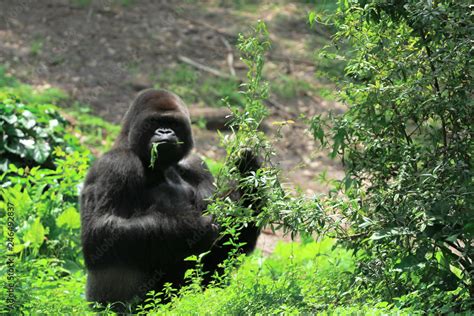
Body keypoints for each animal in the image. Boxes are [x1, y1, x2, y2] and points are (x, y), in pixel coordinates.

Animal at [79, 88, 262, 304]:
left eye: (173, 123)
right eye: (155, 122)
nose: (165, 132)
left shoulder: (197, 164)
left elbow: (230, 243)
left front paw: (249, 169)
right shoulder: (116, 164)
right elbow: (100, 233)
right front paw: (193, 228)